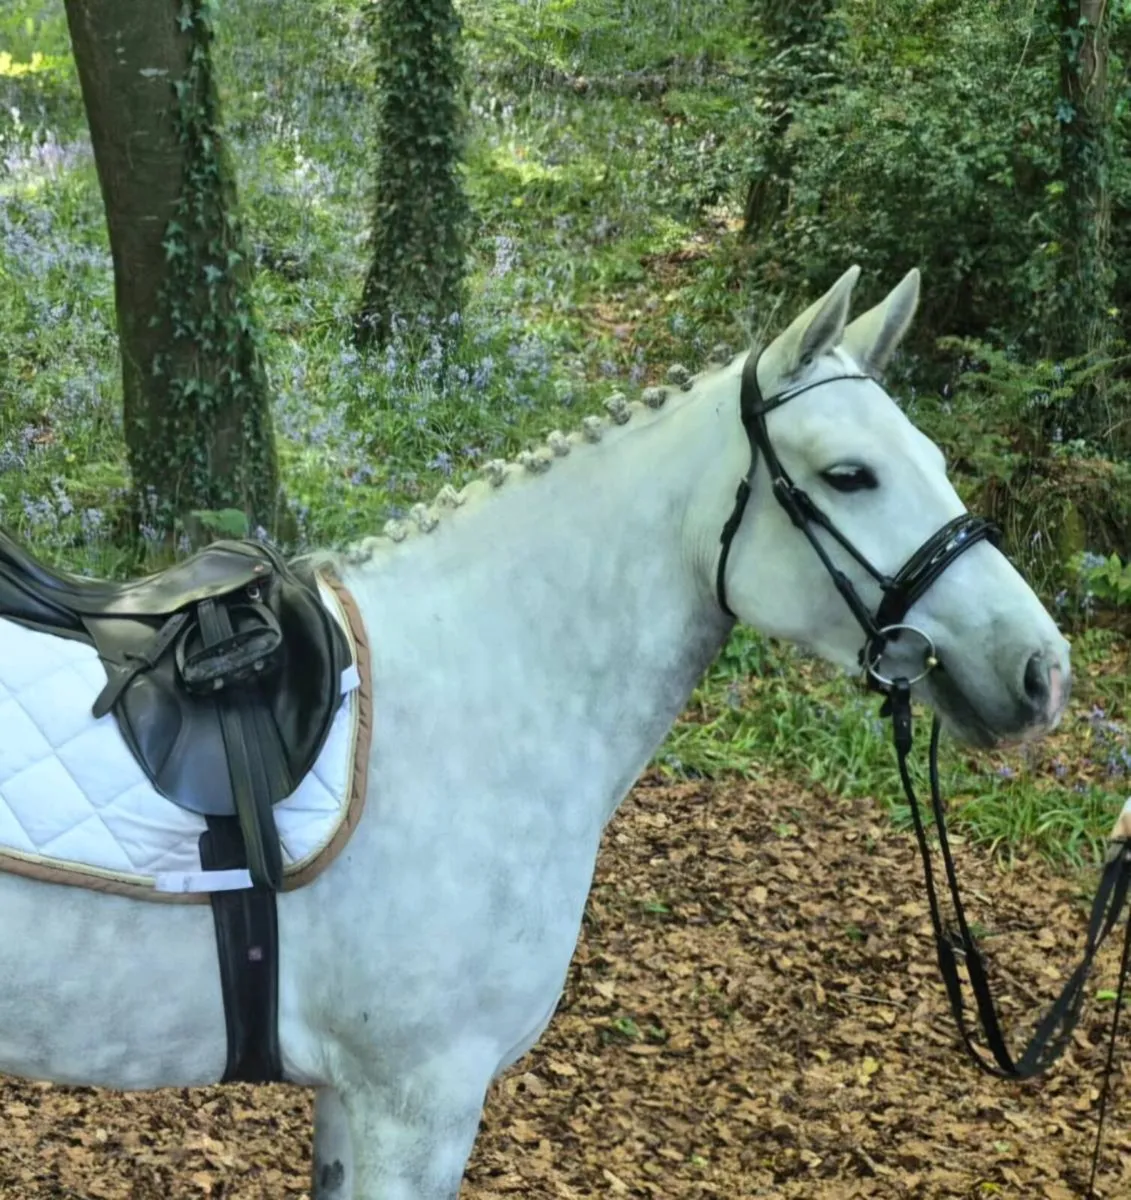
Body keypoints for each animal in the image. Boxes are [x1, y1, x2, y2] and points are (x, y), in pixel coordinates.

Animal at [0, 266, 1070, 1198]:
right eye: (849, 476)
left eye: (934, 462)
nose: (1040, 670)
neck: (471, 691)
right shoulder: (416, 1100)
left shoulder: (362, 1101)